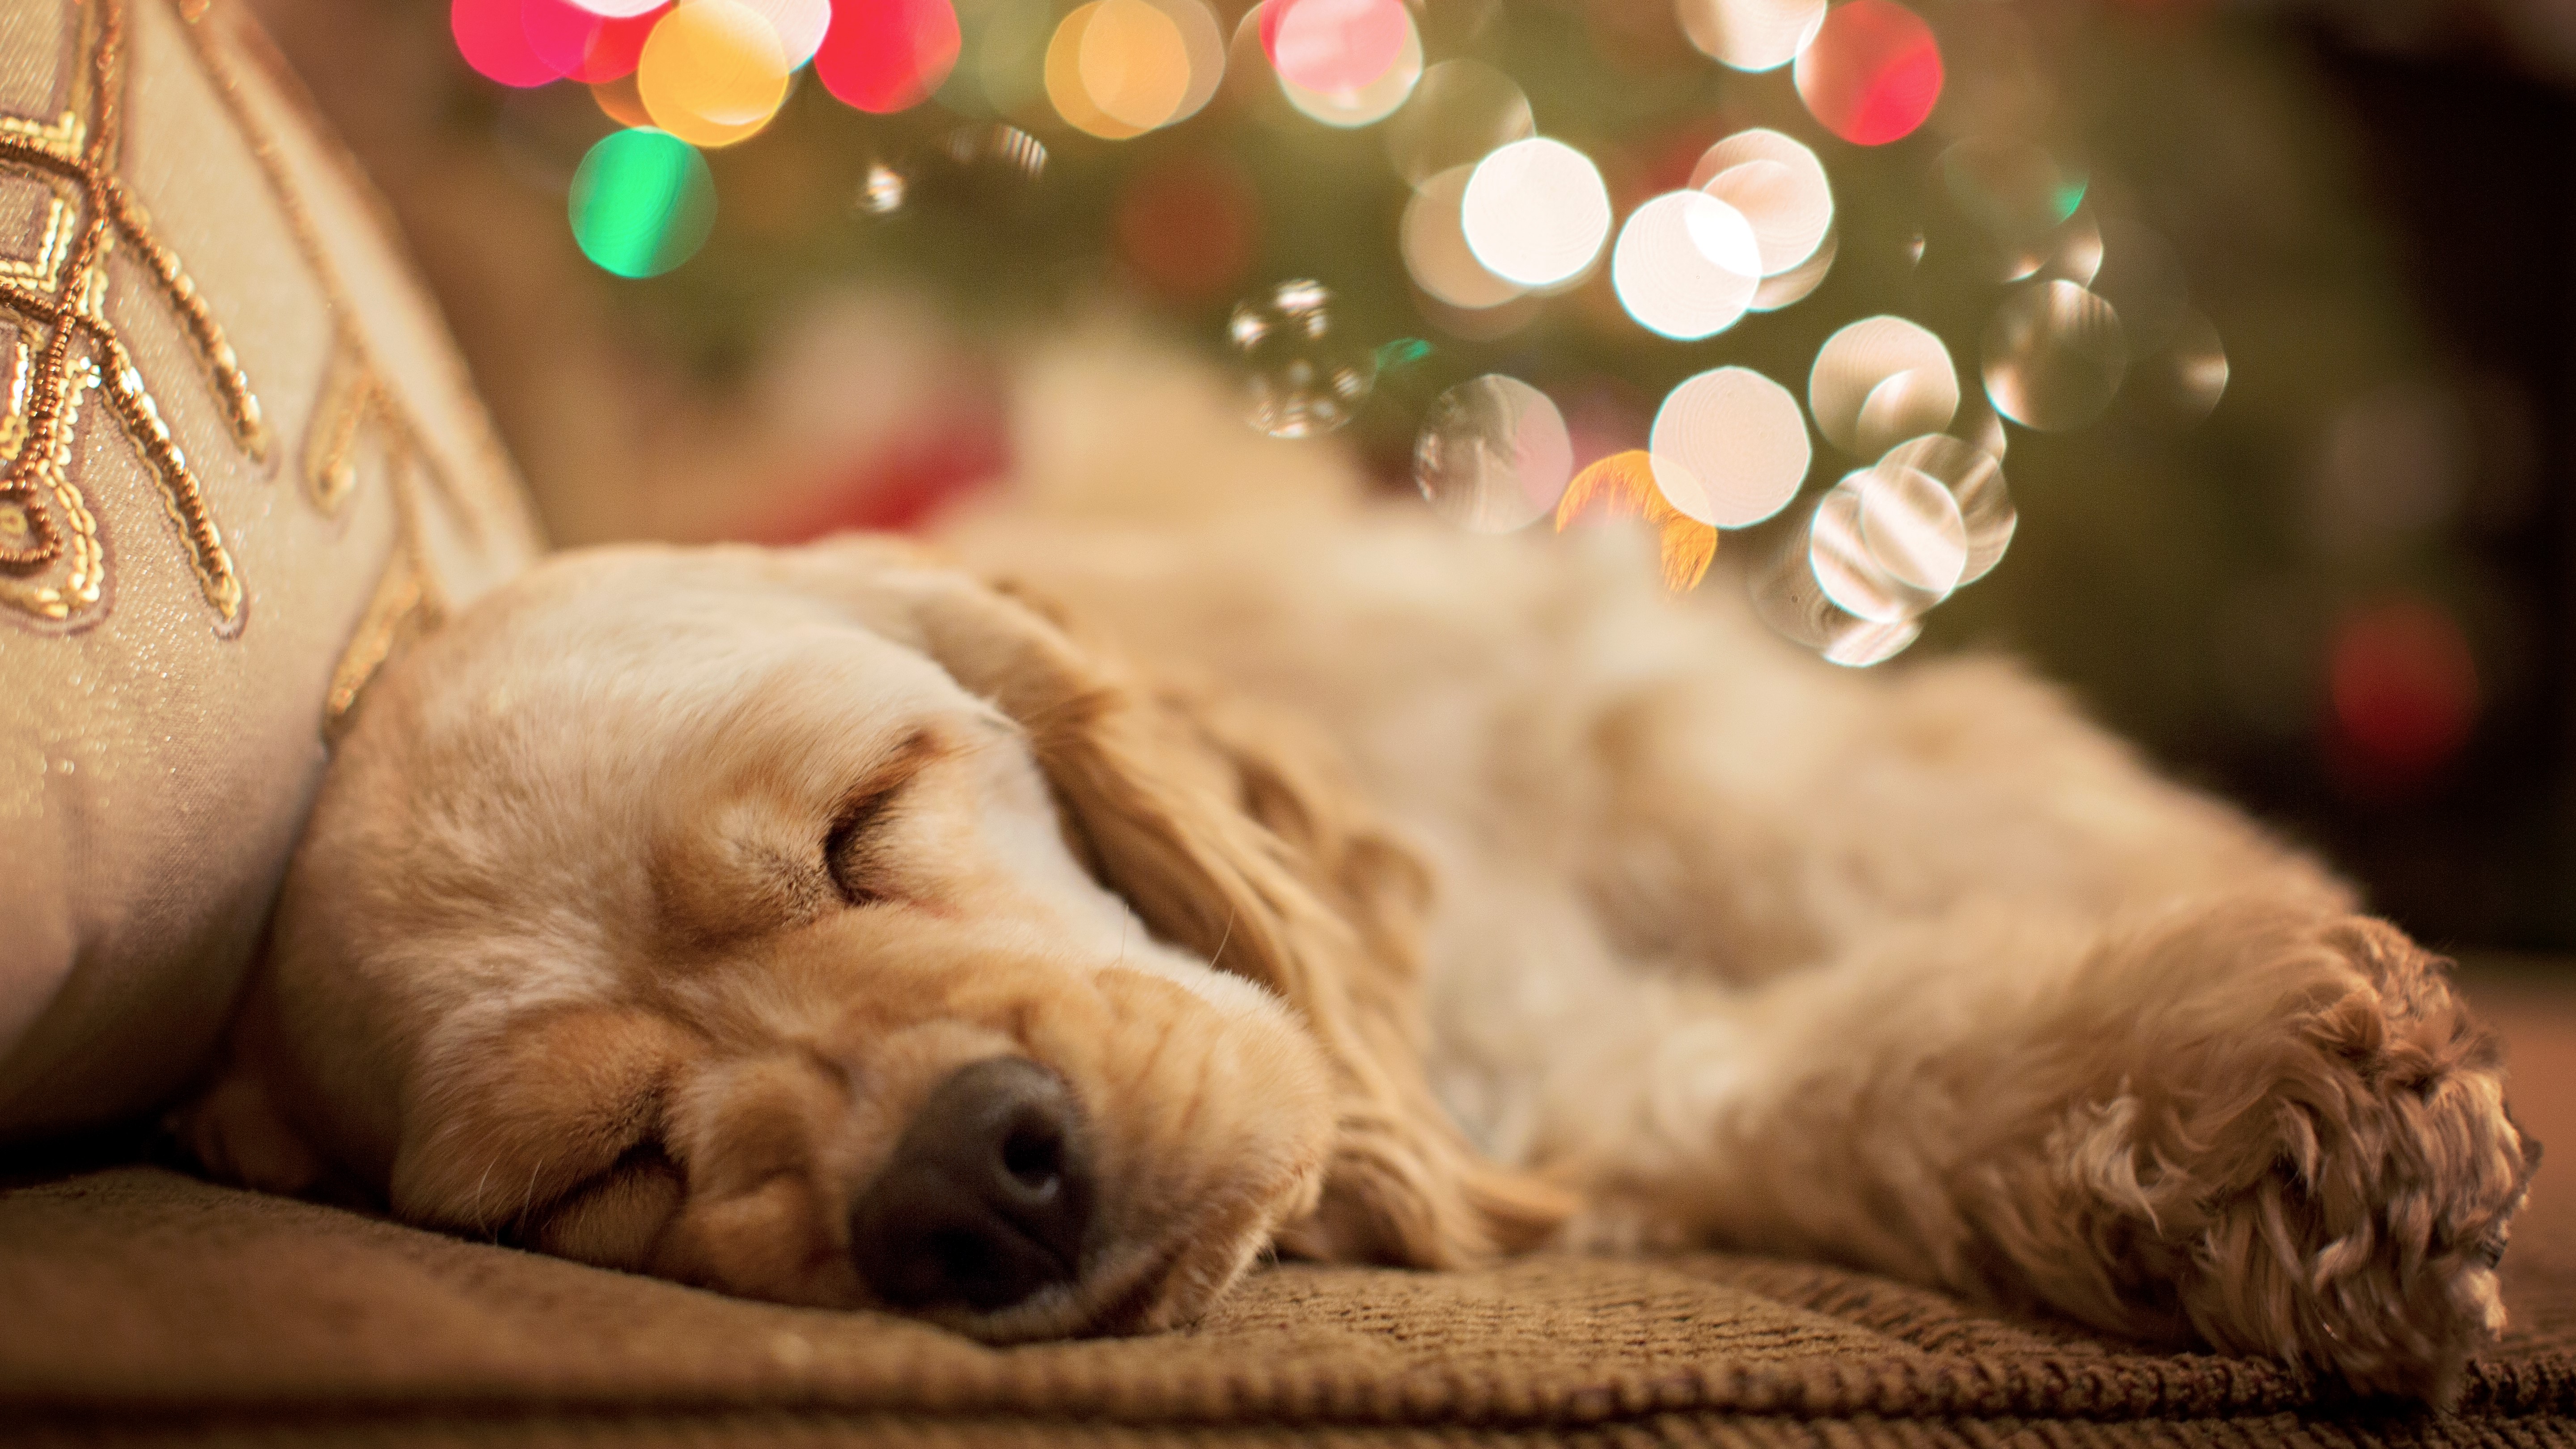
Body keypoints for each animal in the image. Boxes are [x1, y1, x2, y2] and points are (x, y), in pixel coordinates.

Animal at [182, 508, 2534, 1402]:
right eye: (594, 1174)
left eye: (860, 828)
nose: (970, 1191)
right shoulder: (1596, 1094)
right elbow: (1869, 1082)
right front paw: (2284, 1132)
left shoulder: (1708, 741)